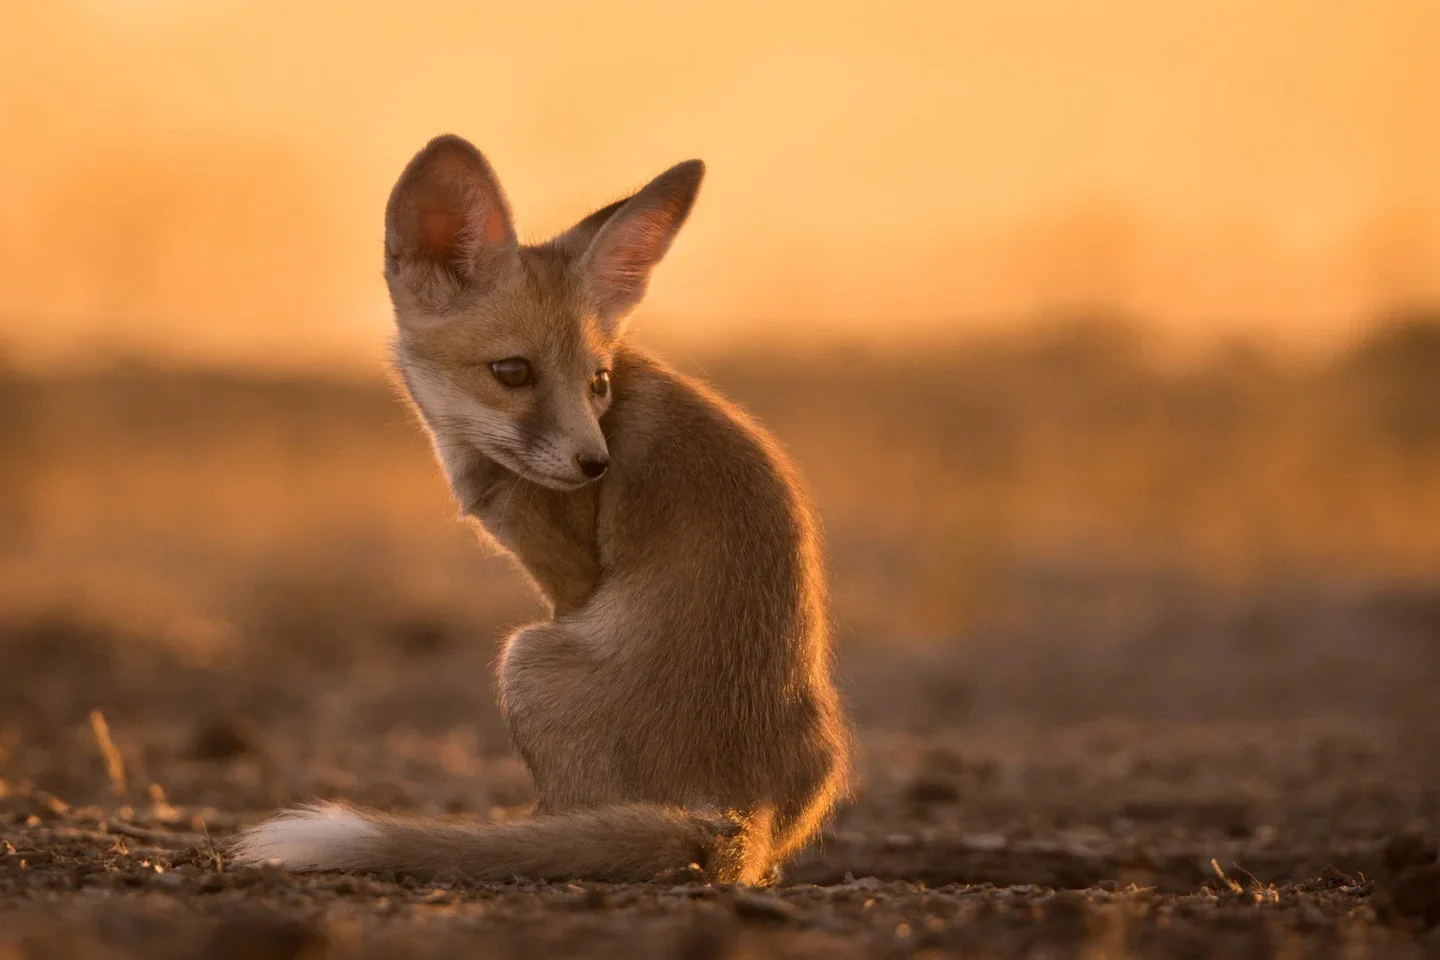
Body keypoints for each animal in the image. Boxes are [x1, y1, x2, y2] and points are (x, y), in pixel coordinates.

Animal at [232, 134, 850, 885]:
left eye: (598, 381)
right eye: (513, 372)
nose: (595, 465)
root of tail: (740, 808)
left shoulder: (570, 579)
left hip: (524, 659)